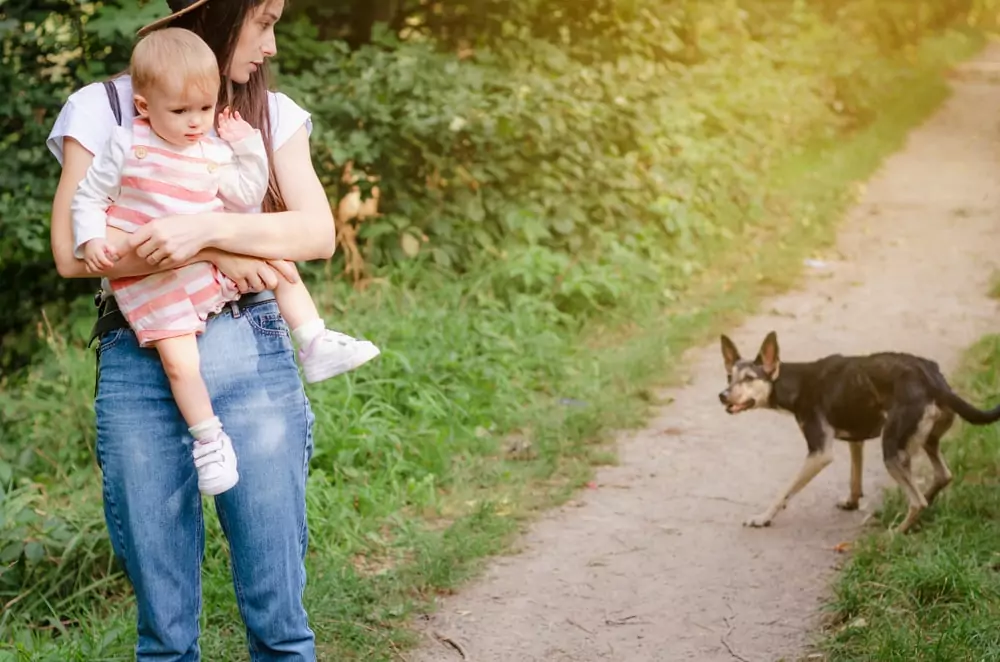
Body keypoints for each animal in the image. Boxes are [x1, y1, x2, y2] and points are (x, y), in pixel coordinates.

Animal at [716, 332, 996, 536]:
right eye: (729, 377)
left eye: (749, 378)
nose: (722, 396)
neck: (795, 382)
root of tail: (934, 380)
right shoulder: (855, 439)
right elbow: (854, 477)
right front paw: (852, 503)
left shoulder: (819, 453)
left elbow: (785, 491)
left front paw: (763, 517)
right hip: (926, 441)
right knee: (942, 476)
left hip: (892, 450)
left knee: (917, 501)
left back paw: (895, 532)